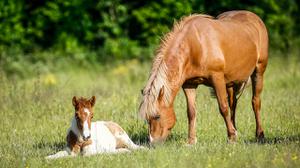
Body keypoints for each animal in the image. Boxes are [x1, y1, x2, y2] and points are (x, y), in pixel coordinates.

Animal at [139, 10, 268, 144]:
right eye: (147, 118)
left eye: (157, 116)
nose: (153, 143)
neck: (195, 45)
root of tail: (254, 17)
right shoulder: (189, 84)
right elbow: (191, 112)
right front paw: (191, 141)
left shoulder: (217, 78)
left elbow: (223, 108)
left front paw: (231, 137)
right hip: (230, 82)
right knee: (233, 104)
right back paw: (236, 129)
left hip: (259, 70)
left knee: (255, 102)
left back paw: (259, 135)